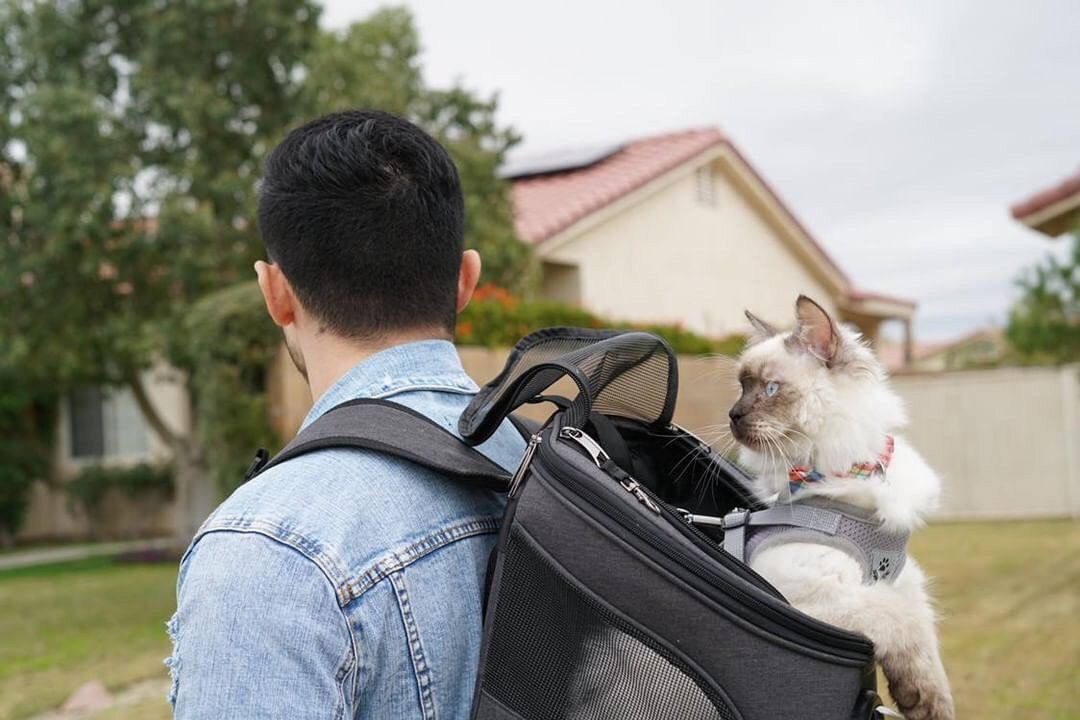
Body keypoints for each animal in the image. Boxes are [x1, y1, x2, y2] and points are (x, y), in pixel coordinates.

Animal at [730, 295, 959, 720]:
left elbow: (928, 650)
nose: (732, 415)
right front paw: (917, 701)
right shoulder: (821, 603)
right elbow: (903, 622)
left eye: (770, 388)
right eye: (741, 387)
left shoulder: (903, 582)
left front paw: (929, 704)